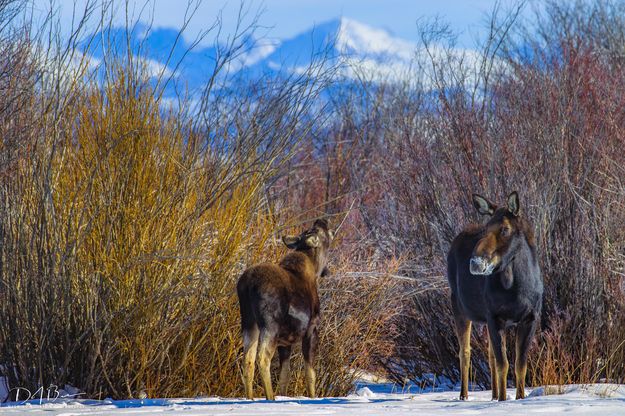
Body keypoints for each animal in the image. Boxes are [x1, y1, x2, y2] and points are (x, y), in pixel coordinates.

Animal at [235, 219, 332, 402]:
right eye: (325, 232)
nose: (321, 220)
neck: (314, 269)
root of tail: (248, 284)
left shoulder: (285, 342)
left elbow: (284, 376)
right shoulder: (311, 330)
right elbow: (310, 374)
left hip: (248, 322)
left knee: (248, 359)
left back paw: (250, 398)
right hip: (270, 324)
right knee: (262, 357)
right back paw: (269, 397)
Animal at [448, 193, 540, 402]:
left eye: (505, 228)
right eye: (486, 228)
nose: (475, 263)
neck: (516, 288)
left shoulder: (530, 318)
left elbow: (520, 365)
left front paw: (519, 397)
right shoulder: (495, 317)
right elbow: (503, 364)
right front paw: (503, 400)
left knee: (489, 355)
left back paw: (493, 394)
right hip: (459, 307)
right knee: (465, 353)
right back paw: (464, 396)